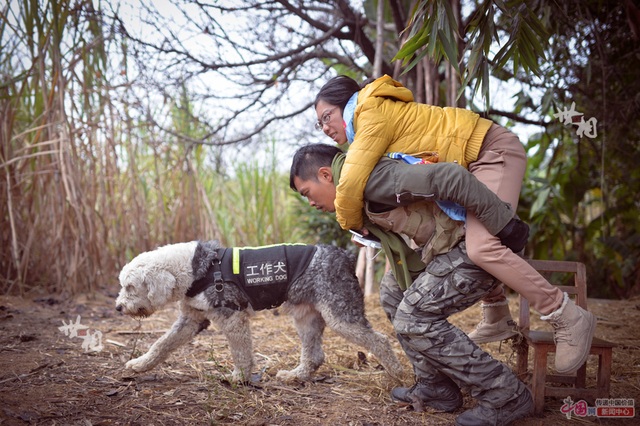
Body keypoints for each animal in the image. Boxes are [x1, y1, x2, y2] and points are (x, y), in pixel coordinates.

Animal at [115, 240, 402, 382]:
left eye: (130, 286)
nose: (118, 307)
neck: (195, 269)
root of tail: (344, 255)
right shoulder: (191, 319)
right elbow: (161, 344)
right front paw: (139, 364)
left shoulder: (232, 317)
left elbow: (241, 354)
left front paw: (239, 378)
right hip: (306, 316)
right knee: (315, 355)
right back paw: (295, 376)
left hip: (340, 314)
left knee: (380, 340)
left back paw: (396, 374)